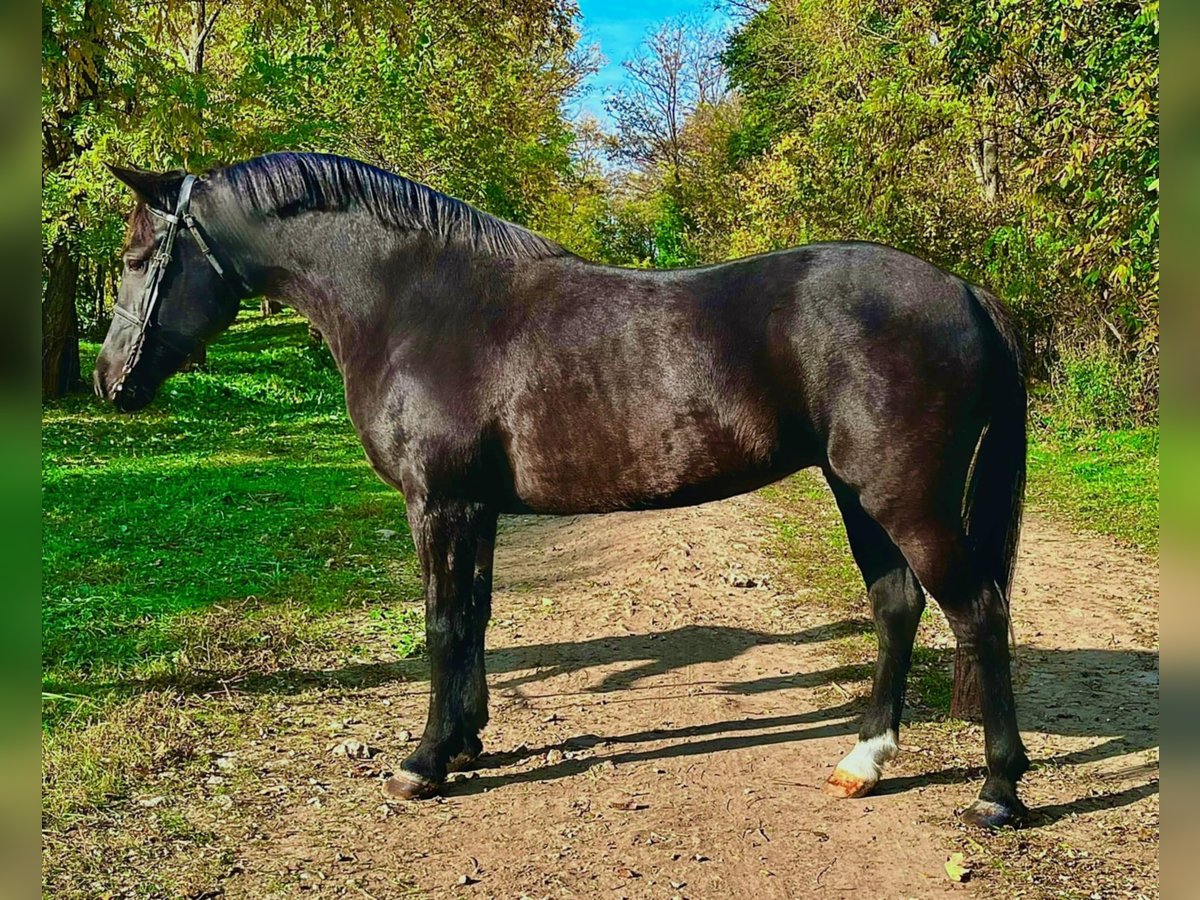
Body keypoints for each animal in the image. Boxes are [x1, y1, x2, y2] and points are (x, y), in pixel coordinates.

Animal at [96, 153, 1032, 830]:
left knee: (979, 613)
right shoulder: (474, 509)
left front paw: (422, 764)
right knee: (897, 605)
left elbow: (441, 627)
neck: (415, 304)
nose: (109, 381)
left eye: (140, 258)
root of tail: (965, 292)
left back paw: (997, 792)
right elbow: (473, 619)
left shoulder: (439, 504)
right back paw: (863, 760)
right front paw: (465, 743)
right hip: (856, 494)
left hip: (903, 499)